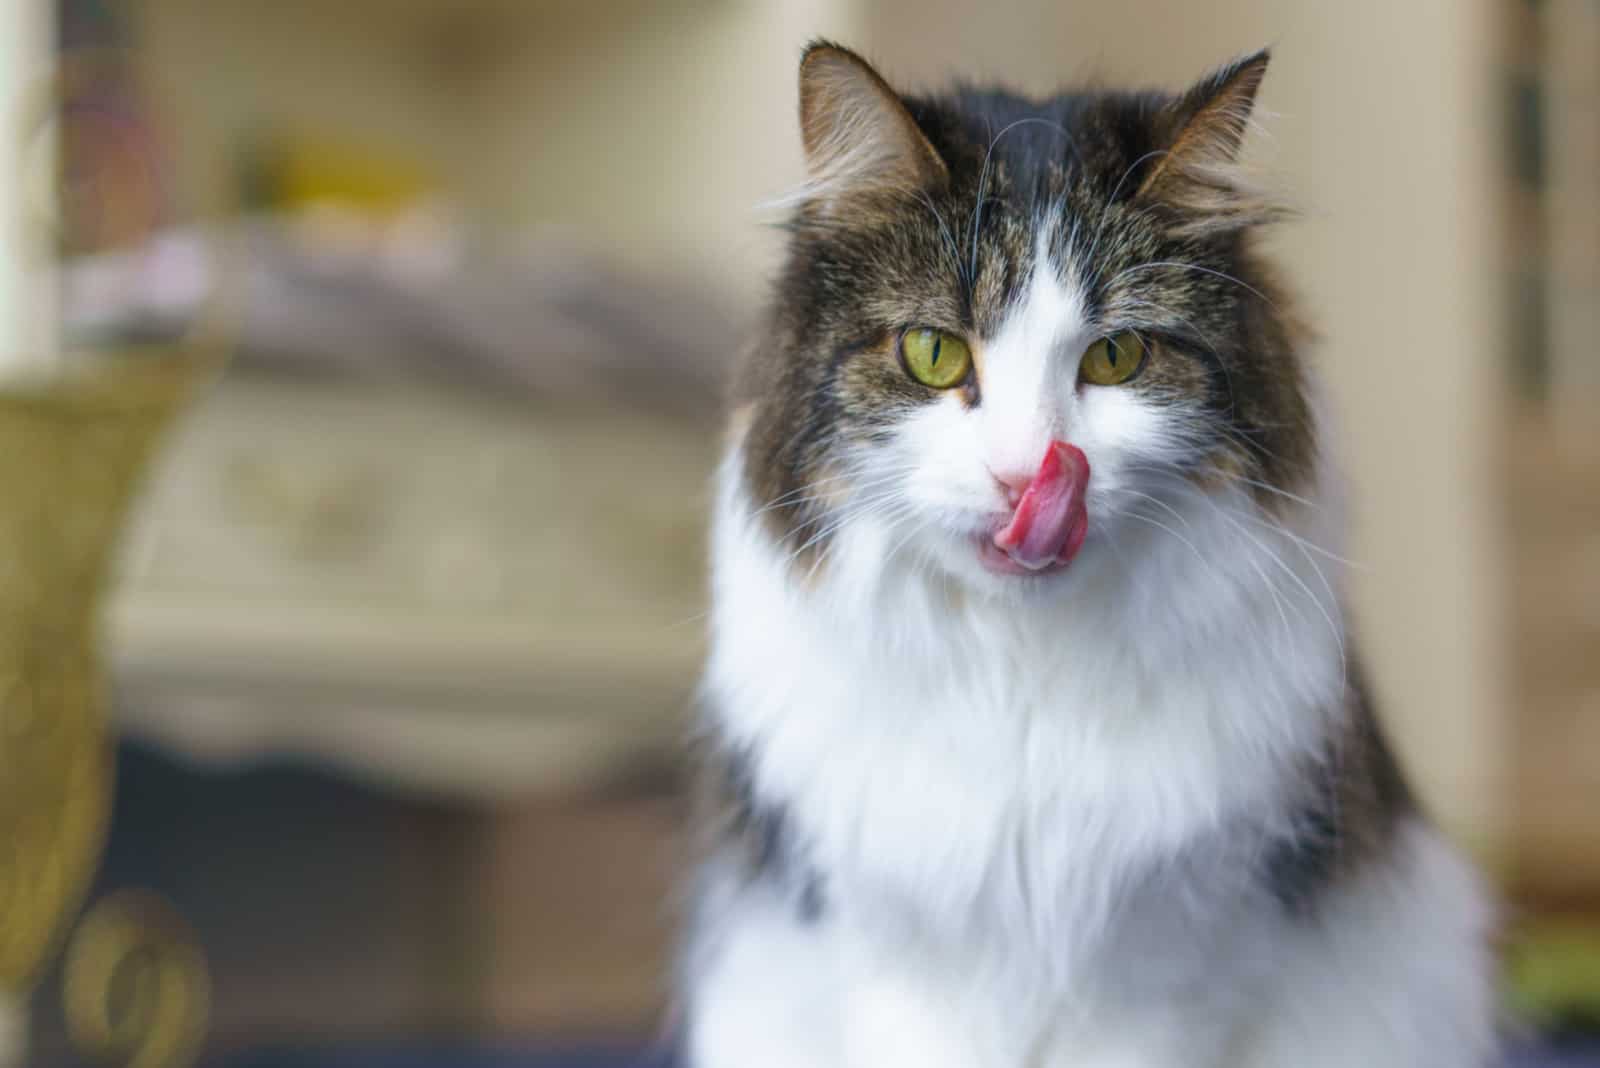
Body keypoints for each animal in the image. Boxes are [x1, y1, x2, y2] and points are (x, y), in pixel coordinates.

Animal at [684, 41, 1497, 1068]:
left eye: (1116, 359)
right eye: (933, 355)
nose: (1027, 476)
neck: (1021, 680)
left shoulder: (1164, 957)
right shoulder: (907, 954)